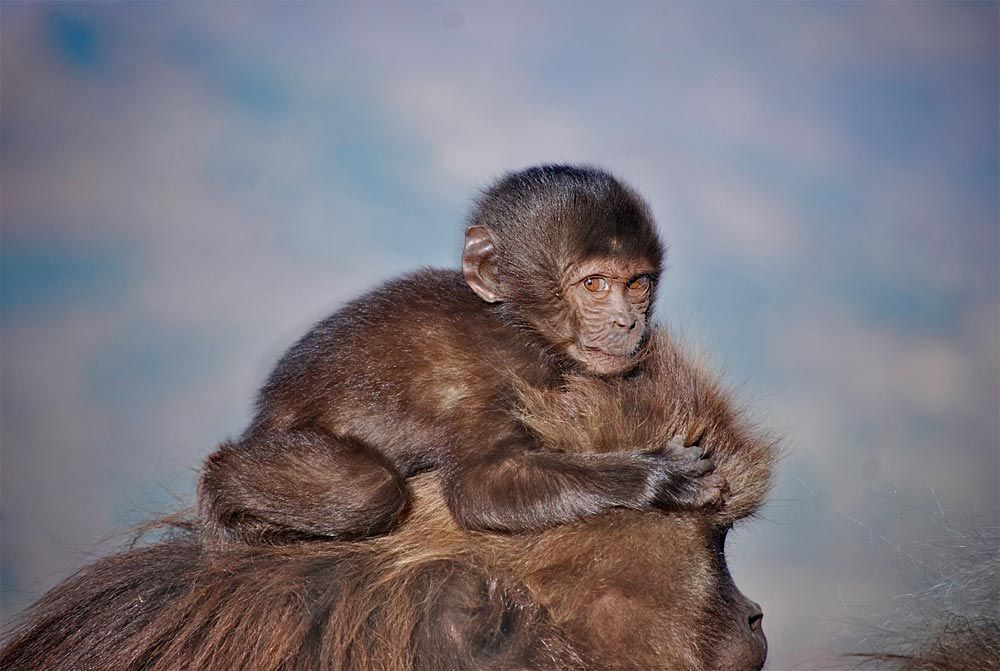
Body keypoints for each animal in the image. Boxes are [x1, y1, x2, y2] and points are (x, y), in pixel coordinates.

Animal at [197, 164, 728, 544]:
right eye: (594, 285)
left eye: (637, 284)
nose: (627, 323)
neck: (517, 325)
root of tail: (264, 416)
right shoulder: (488, 379)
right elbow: (480, 489)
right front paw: (657, 480)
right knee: (369, 489)